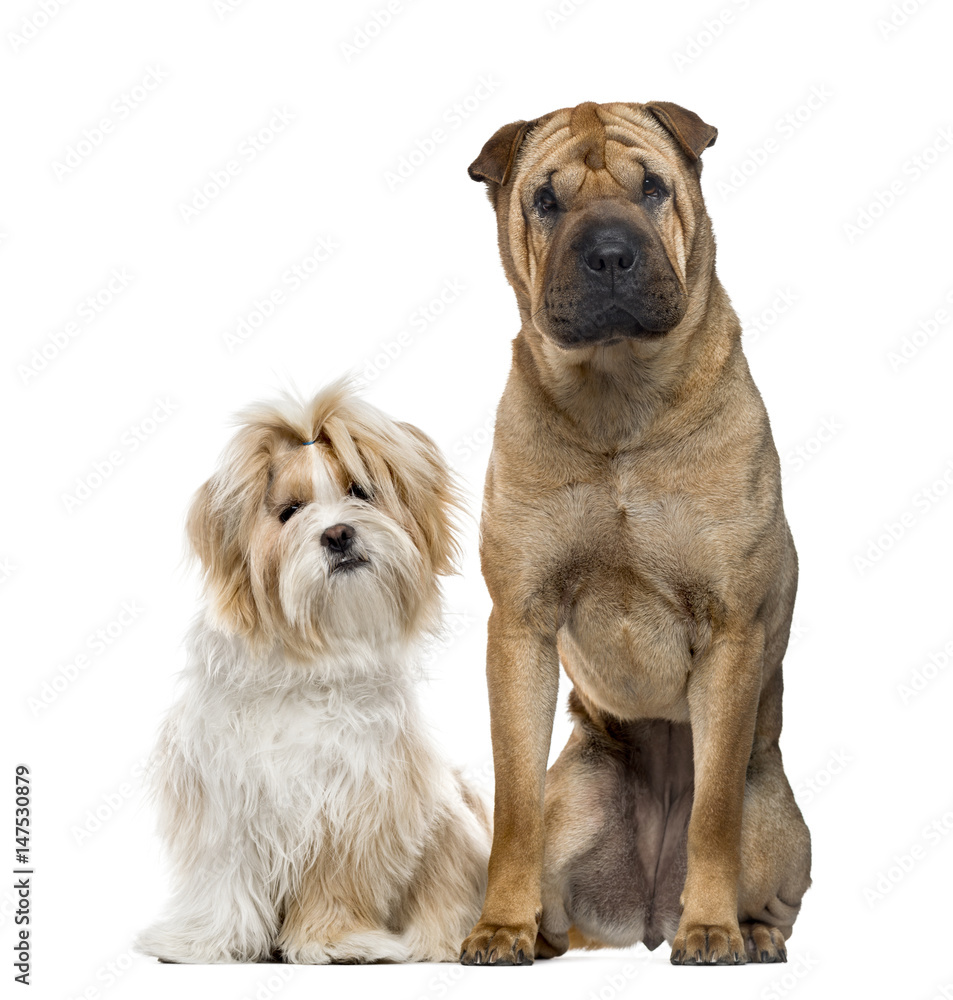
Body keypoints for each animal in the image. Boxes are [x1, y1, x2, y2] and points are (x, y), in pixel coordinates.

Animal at [136, 380, 490, 960]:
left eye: (360, 491)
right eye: (290, 511)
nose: (339, 534)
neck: (309, 665)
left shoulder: (357, 804)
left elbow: (337, 883)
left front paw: (336, 942)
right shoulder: (225, 798)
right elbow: (225, 879)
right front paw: (209, 941)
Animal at [462, 103, 812, 968]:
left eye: (651, 187)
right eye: (545, 201)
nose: (609, 254)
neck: (618, 401)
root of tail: (646, 915)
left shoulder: (730, 631)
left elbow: (712, 814)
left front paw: (712, 929)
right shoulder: (518, 625)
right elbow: (511, 803)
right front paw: (497, 927)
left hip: (777, 821)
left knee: (767, 880)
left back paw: (751, 934)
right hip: (579, 796)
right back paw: (544, 936)